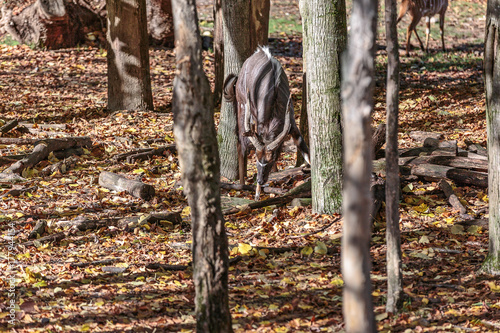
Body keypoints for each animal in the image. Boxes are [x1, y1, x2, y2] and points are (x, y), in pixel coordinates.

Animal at [223, 46, 308, 200]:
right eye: (257, 158)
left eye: (272, 158)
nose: (260, 180)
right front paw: (257, 194)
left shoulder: (292, 125)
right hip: (242, 107)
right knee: (240, 143)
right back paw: (242, 186)